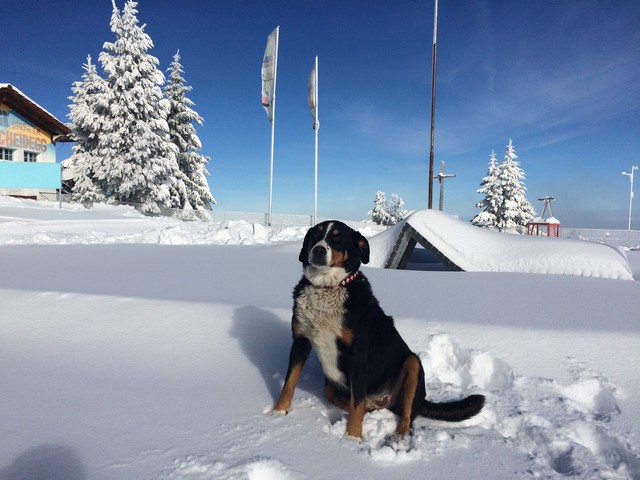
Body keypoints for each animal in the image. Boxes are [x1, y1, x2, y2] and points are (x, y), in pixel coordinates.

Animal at [270, 221, 484, 442]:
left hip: (412, 363)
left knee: (406, 416)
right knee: (361, 403)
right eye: (315, 235)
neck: (326, 288)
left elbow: (357, 403)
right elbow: (289, 382)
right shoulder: (300, 340)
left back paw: (398, 438)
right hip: (332, 386)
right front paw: (278, 412)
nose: (318, 250)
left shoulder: (357, 354)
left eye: (338, 238)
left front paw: (353, 437)